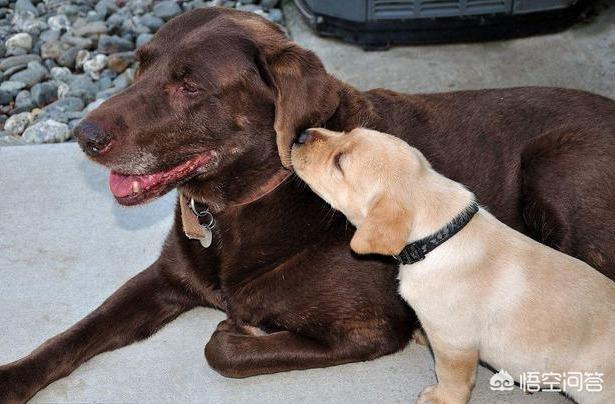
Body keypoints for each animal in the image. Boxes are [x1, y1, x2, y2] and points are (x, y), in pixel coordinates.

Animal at [292, 128, 615, 404]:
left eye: (339, 162)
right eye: (347, 132)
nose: (301, 134)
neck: (439, 236)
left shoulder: (455, 342)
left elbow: (451, 376)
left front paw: (442, 398)